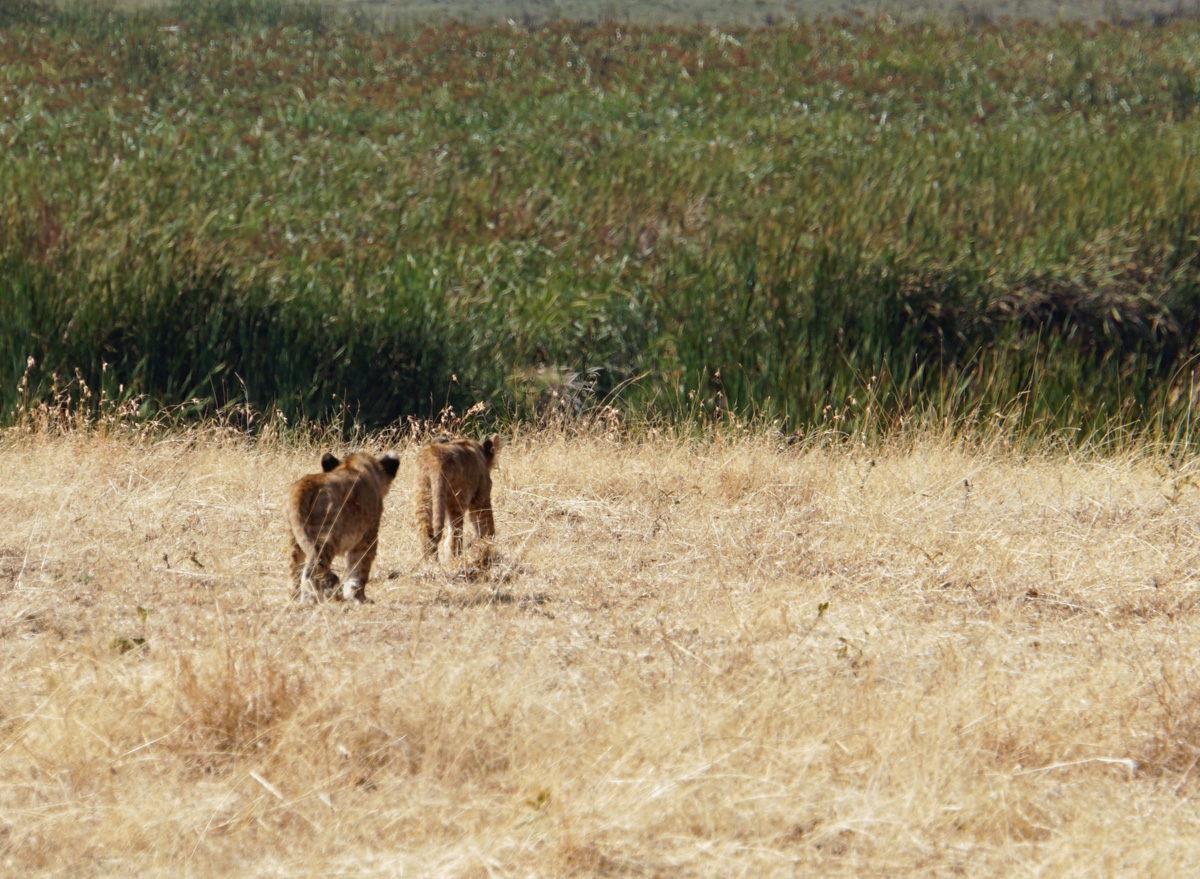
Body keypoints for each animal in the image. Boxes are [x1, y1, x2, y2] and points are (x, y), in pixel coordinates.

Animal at [285, 450, 400, 603]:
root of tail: (303, 485)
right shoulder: (368, 536)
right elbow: (360, 568)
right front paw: (358, 598)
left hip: (294, 537)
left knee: (294, 569)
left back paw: (298, 600)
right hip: (326, 533)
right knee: (313, 568)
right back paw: (318, 599)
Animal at [414, 434, 502, 563]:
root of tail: (436, 459)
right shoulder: (482, 495)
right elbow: (486, 525)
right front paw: (486, 543)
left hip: (423, 495)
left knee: (426, 532)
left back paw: (430, 563)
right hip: (457, 498)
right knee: (454, 536)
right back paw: (454, 559)